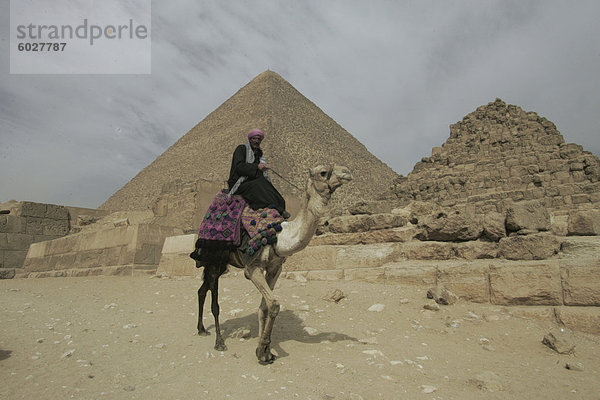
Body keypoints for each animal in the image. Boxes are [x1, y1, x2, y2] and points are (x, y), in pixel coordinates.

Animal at [195, 164, 354, 364]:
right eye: (323, 172)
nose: (348, 172)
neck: (279, 237)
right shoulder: (252, 267)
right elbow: (274, 304)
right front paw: (262, 350)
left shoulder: (274, 269)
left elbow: (265, 307)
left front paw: (265, 351)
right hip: (214, 259)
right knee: (213, 299)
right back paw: (219, 342)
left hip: (222, 264)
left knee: (202, 289)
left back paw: (201, 329)